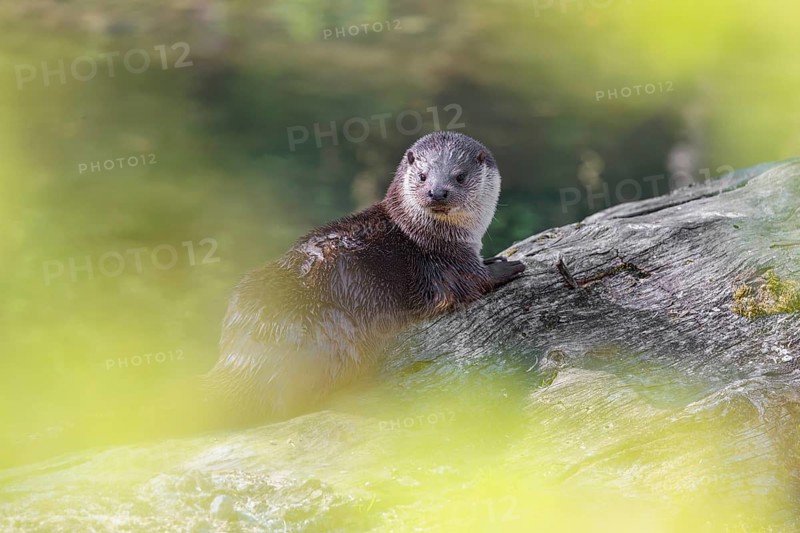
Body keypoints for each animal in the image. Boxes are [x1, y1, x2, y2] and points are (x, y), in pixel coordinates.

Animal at [207, 131, 525, 420]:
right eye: (423, 176)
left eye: (459, 176)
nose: (437, 192)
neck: (424, 233)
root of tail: (240, 357)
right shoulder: (444, 264)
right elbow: (472, 282)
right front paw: (510, 265)